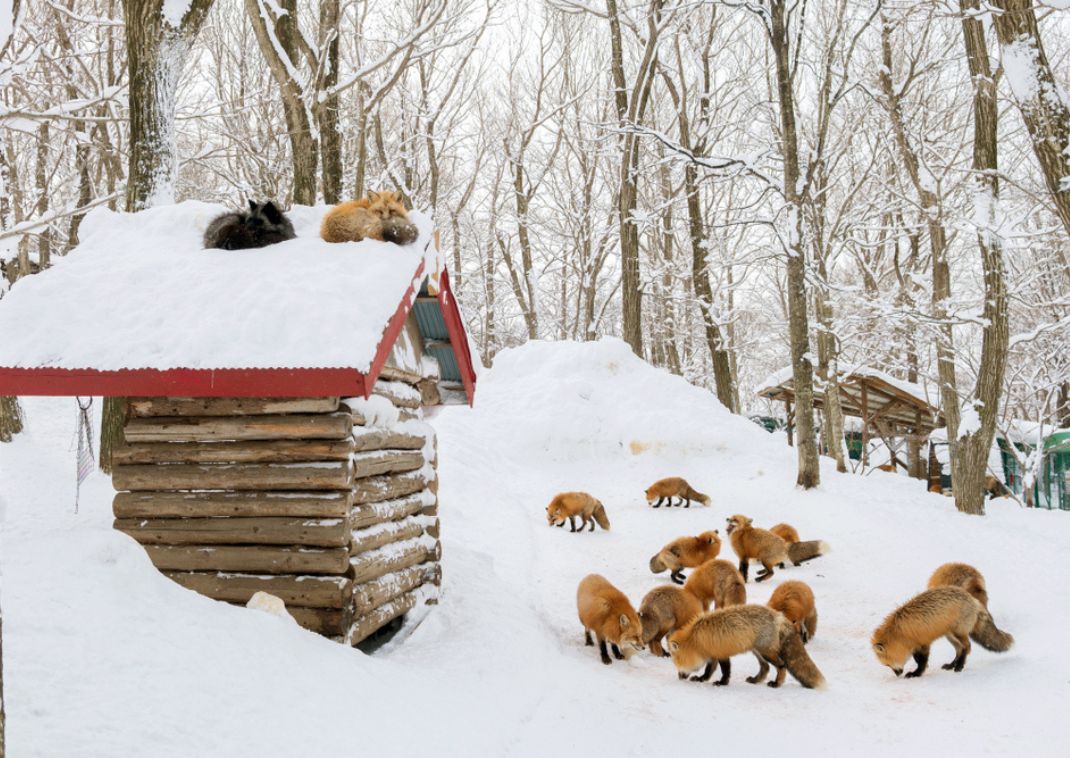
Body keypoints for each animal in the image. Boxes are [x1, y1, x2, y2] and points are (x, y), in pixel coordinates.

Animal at [667, 599, 826, 689]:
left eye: (678, 663)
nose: (680, 677)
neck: (696, 639)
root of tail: (780, 616)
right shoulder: (713, 654)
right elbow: (708, 671)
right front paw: (701, 679)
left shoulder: (722, 654)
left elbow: (725, 671)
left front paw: (722, 683)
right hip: (757, 652)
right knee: (765, 668)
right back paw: (755, 680)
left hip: (766, 652)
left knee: (781, 666)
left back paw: (776, 683)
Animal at [868, 582, 1010, 676]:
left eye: (887, 664)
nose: (898, 674)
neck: (899, 633)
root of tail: (973, 599)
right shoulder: (915, 644)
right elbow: (918, 659)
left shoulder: (923, 643)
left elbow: (921, 661)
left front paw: (917, 673)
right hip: (950, 636)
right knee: (959, 649)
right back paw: (951, 665)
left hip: (958, 633)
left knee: (967, 647)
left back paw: (959, 666)